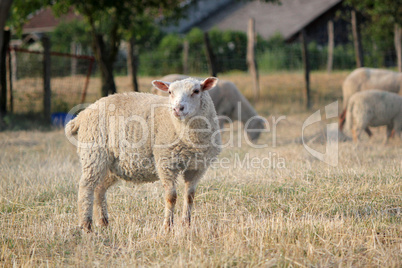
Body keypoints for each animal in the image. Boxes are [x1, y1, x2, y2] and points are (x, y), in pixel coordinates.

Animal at [66, 77, 223, 230]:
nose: (177, 109)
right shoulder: (165, 162)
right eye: (170, 92)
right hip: (94, 153)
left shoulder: (197, 167)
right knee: (86, 187)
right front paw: (167, 227)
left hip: (112, 165)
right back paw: (86, 225)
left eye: (196, 91)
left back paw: (103, 223)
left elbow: (190, 196)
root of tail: (82, 114)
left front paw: (186, 225)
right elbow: (171, 197)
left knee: (99, 188)